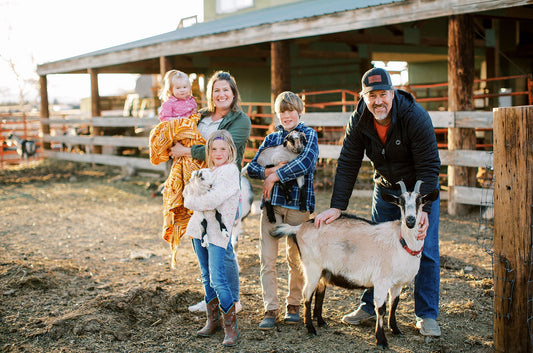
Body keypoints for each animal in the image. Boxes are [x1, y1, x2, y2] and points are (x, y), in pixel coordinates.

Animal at [272, 180, 438, 348]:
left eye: (420, 201)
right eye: (401, 202)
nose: (410, 220)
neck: (401, 242)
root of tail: (299, 228)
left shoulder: (398, 284)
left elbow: (394, 305)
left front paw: (396, 330)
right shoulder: (381, 281)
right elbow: (381, 309)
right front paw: (381, 340)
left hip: (323, 270)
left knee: (320, 291)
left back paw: (321, 321)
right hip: (312, 267)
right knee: (307, 294)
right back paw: (311, 328)